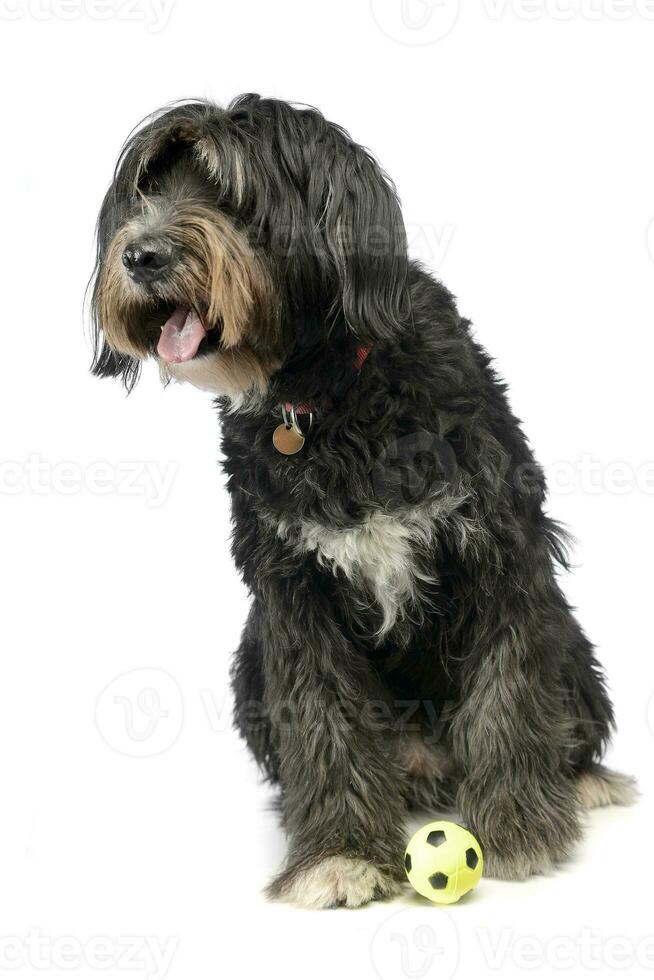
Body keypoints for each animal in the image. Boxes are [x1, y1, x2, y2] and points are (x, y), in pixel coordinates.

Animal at [89, 95, 640, 908]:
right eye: (146, 188)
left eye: (230, 190)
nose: (141, 256)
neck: (327, 394)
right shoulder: (293, 593)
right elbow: (324, 720)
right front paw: (339, 854)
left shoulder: (500, 555)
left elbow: (508, 695)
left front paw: (519, 829)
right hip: (250, 666)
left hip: (570, 639)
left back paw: (581, 780)